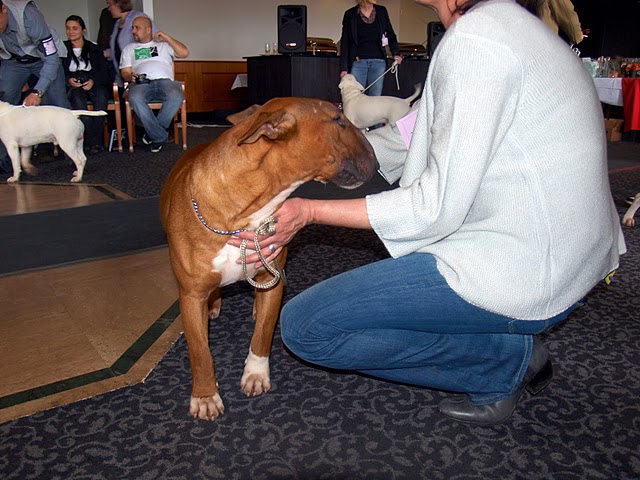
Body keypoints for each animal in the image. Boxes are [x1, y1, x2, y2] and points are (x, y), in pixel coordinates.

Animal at [160, 97, 378, 420]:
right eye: (338, 120)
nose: (377, 161)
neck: (245, 214)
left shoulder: (272, 280)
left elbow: (262, 334)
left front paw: (255, 373)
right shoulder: (190, 295)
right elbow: (200, 352)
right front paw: (205, 395)